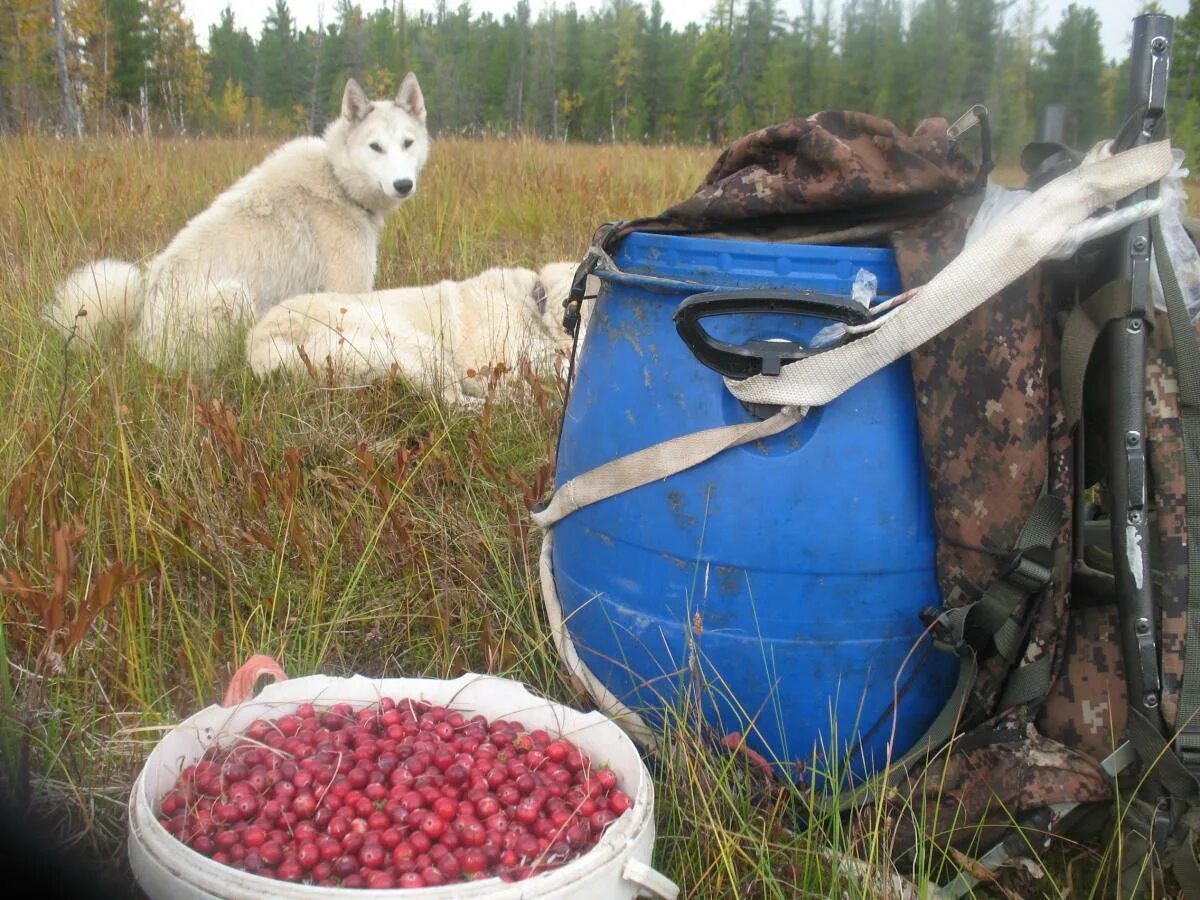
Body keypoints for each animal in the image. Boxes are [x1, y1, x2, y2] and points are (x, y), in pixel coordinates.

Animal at [49, 74, 432, 369]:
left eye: (407, 143)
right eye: (375, 147)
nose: (403, 185)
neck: (337, 180)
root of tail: (139, 328)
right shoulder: (348, 290)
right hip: (235, 296)